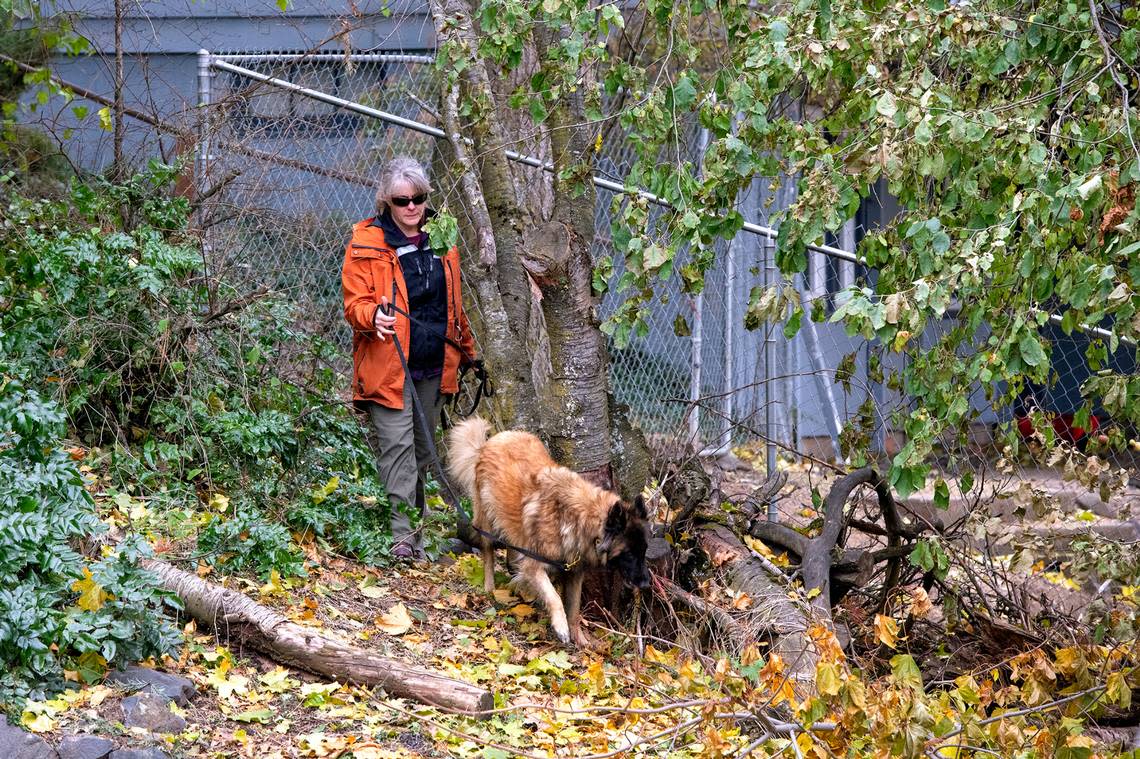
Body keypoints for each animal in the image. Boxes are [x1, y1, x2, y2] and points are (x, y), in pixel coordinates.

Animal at [449, 414, 656, 642]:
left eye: (644, 551)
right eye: (628, 554)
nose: (646, 584)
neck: (578, 518)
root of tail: (492, 440)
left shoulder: (574, 573)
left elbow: (574, 610)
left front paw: (581, 640)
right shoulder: (535, 565)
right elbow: (555, 597)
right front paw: (561, 627)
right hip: (487, 523)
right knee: (488, 554)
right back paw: (490, 587)